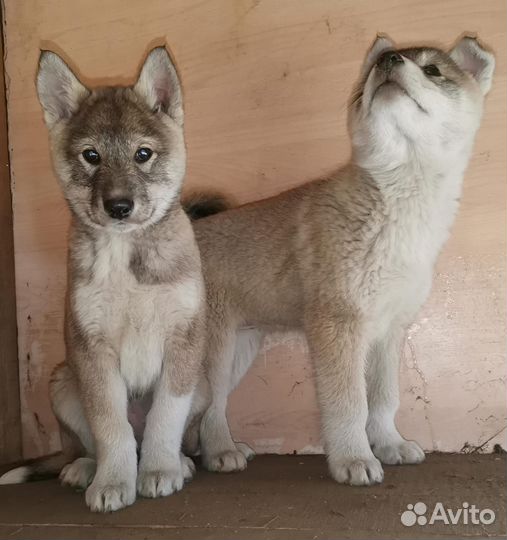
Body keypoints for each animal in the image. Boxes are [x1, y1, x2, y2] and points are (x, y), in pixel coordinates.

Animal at [0, 45, 206, 510]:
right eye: (90, 156)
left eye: (143, 154)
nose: (119, 206)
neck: (127, 254)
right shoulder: (92, 348)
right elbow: (111, 427)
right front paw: (112, 482)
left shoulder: (182, 340)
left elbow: (165, 416)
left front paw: (161, 470)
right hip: (63, 381)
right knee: (95, 443)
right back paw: (82, 469)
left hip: (201, 383)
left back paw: (180, 462)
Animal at [186, 37, 496, 486]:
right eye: (374, 68)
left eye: (433, 70)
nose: (388, 60)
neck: (397, 204)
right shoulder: (338, 325)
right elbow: (350, 403)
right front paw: (353, 458)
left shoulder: (389, 332)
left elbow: (384, 399)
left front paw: (389, 445)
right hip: (215, 354)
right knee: (205, 409)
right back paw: (219, 452)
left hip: (239, 351)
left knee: (210, 408)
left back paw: (213, 450)